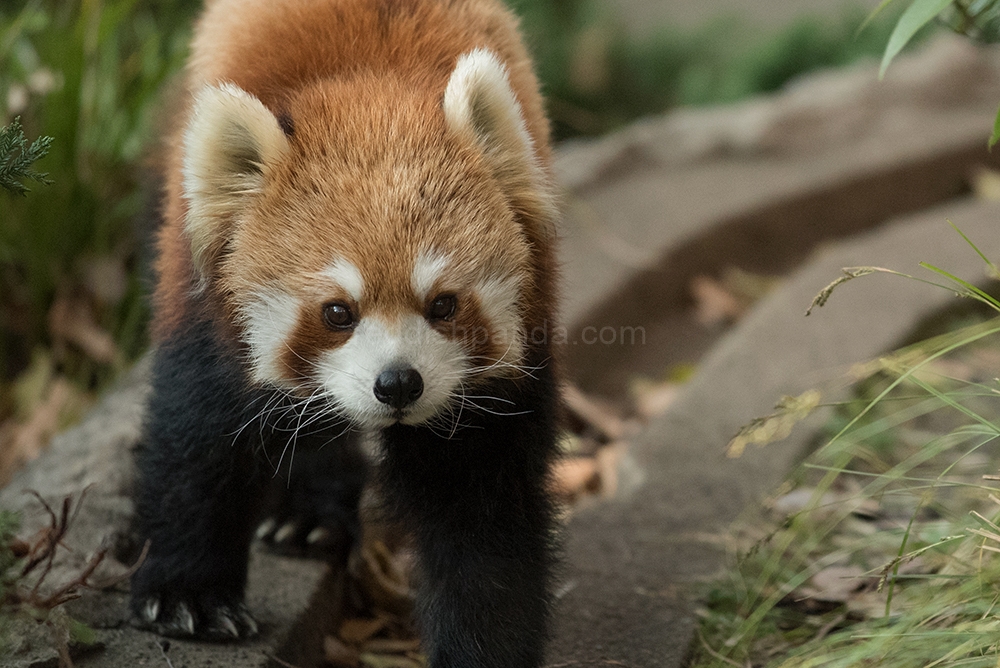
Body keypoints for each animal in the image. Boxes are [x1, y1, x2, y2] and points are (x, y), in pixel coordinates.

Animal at [135, 0, 564, 664]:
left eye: (444, 305)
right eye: (337, 312)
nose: (398, 384)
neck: (368, 85)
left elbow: (481, 508)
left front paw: (485, 646)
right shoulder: (203, 303)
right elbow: (199, 436)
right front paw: (189, 597)